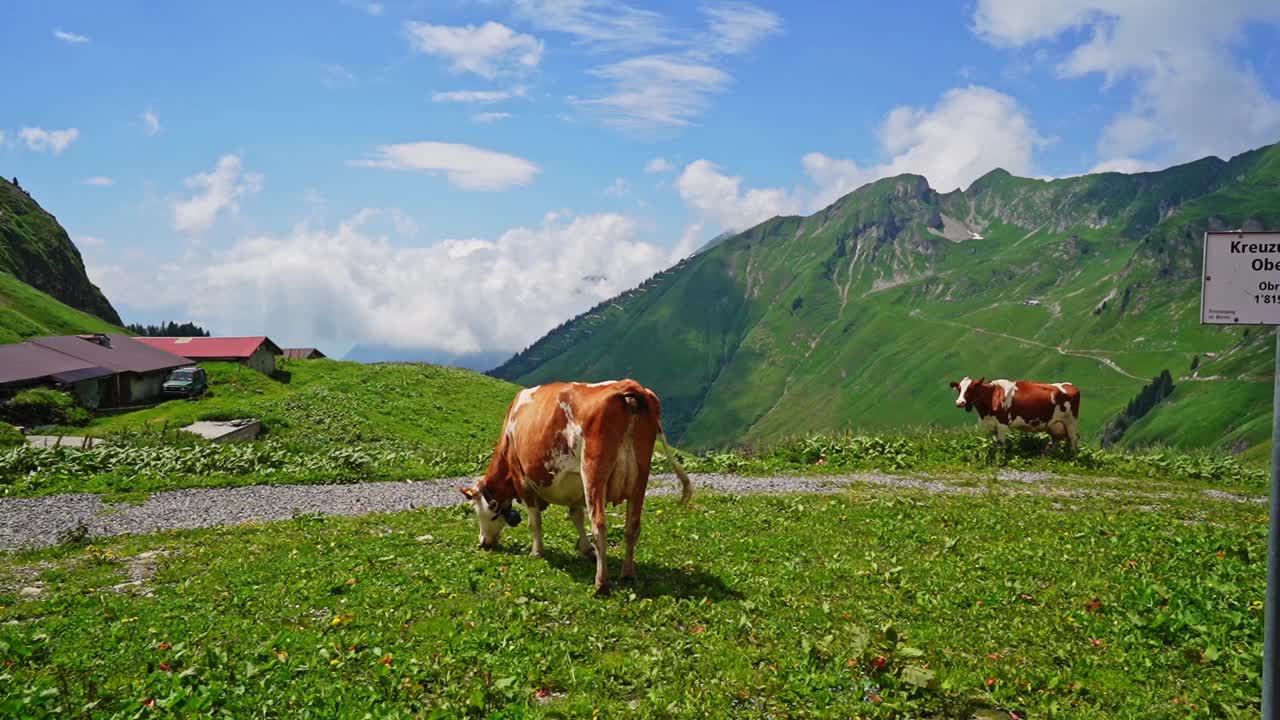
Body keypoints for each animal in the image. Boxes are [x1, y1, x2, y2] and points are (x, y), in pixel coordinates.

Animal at [460, 379, 696, 591]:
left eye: (480, 512)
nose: (484, 543)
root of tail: (628, 386)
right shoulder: (574, 488)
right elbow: (577, 517)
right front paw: (586, 550)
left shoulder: (523, 480)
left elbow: (535, 521)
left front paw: (537, 551)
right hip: (640, 476)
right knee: (632, 526)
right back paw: (628, 575)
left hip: (593, 472)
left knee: (599, 526)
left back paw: (601, 584)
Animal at [952, 376, 1080, 448]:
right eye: (959, 389)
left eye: (971, 388)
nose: (959, 402)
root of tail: (1070, 385)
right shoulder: (991, 425)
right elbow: (995, 443)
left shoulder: (1002, 423)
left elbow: (1001, 444)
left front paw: (1000, 460)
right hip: (1054, 424)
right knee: (1056, 440)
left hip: (1071, 422)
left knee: (1073, 439)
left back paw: (1072, 457)